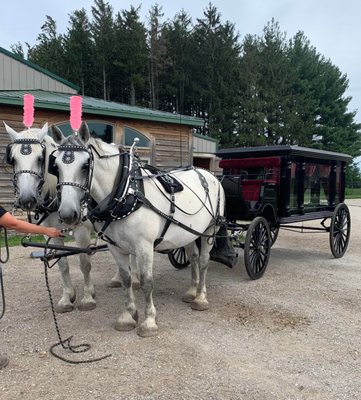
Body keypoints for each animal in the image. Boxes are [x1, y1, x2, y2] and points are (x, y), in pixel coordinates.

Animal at [3, 122, 114, 312]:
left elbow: (84, 262)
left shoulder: (82, 231)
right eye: (13, 159)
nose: (27, 199)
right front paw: (67, 297)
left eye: (41, 158)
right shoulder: (50, 232)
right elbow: (62, 264)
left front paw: (88, 297)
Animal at [50, 123, 225, 336]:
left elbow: (146, 282)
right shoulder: (115, 247)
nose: (68, 213)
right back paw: (192, 292)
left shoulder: (144, 246)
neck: (126, 192)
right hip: (189, 233)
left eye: (85, 165)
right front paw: (128, 316)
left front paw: (149, 321)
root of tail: (206, 173)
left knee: (203, 262)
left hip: (210, 230)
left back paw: (200, 297)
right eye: (56, 166)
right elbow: (126, 279)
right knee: (192, 258)